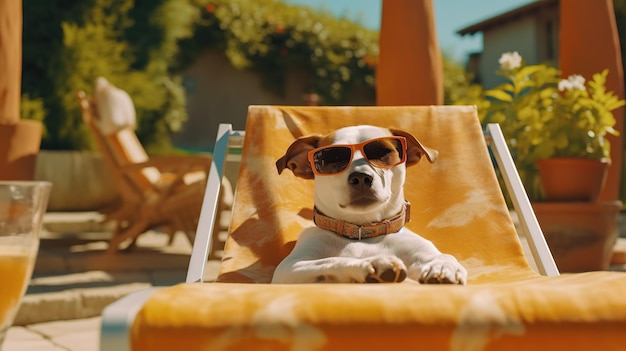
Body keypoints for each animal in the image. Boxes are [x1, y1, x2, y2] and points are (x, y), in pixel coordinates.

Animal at [270, 126, 466, 286]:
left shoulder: (419, 252)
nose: (361, 177)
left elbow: (445, 256)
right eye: (333, 158)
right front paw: (370, 263)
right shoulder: (290, 267)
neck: (362, 231)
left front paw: (444, 267)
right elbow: (331, 261)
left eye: (382, 152)